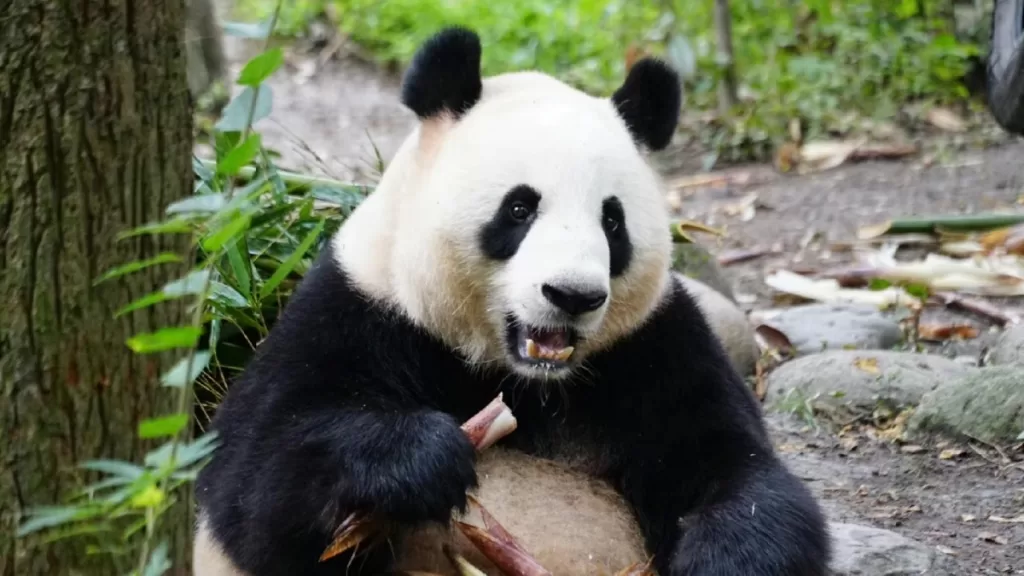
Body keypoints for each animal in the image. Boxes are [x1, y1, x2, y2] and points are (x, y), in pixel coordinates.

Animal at [193, 27, 830, 576]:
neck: (527, 382)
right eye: (520, 208)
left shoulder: (653, 346)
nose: (572, 295)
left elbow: (739, 473)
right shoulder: (359, 309)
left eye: (613, 221)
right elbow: (254, 476)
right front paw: (424, 458)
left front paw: (729, 557)